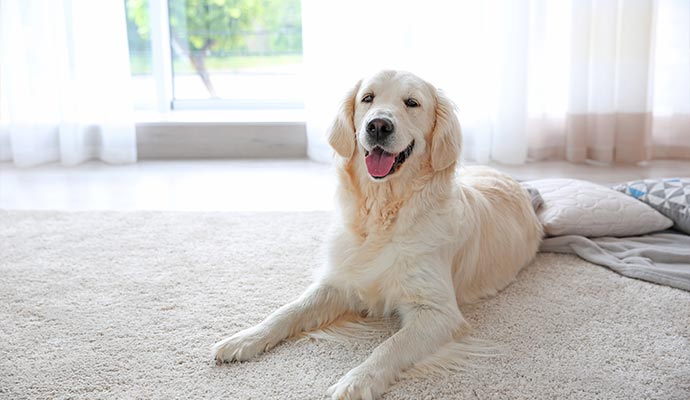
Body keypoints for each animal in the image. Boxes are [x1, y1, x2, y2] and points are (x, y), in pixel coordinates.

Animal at [214, 70, 544, 398]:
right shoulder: (339, 282)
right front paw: (244, 338)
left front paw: (357, 381)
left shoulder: (438, 312)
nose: (378, 125)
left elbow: (391, 346)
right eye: (368, 98)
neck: (382, 213)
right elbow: (288, 311)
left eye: (412, 103)